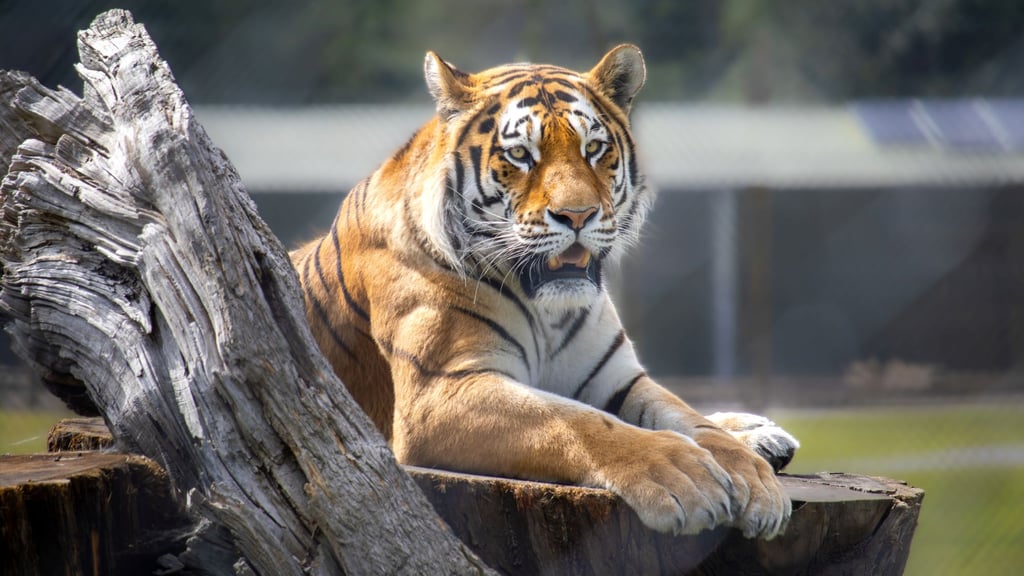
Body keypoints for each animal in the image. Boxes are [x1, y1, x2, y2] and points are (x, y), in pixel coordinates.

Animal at [290, 44, 799, 538]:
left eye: (593, 148)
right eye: (520, 155)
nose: (577, 215)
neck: (549, 310)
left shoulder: (618, 378)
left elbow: (690, 419)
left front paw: (751, 477)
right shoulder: (442, 391)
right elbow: (576, 420)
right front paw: (681, 473)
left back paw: (762, 434)